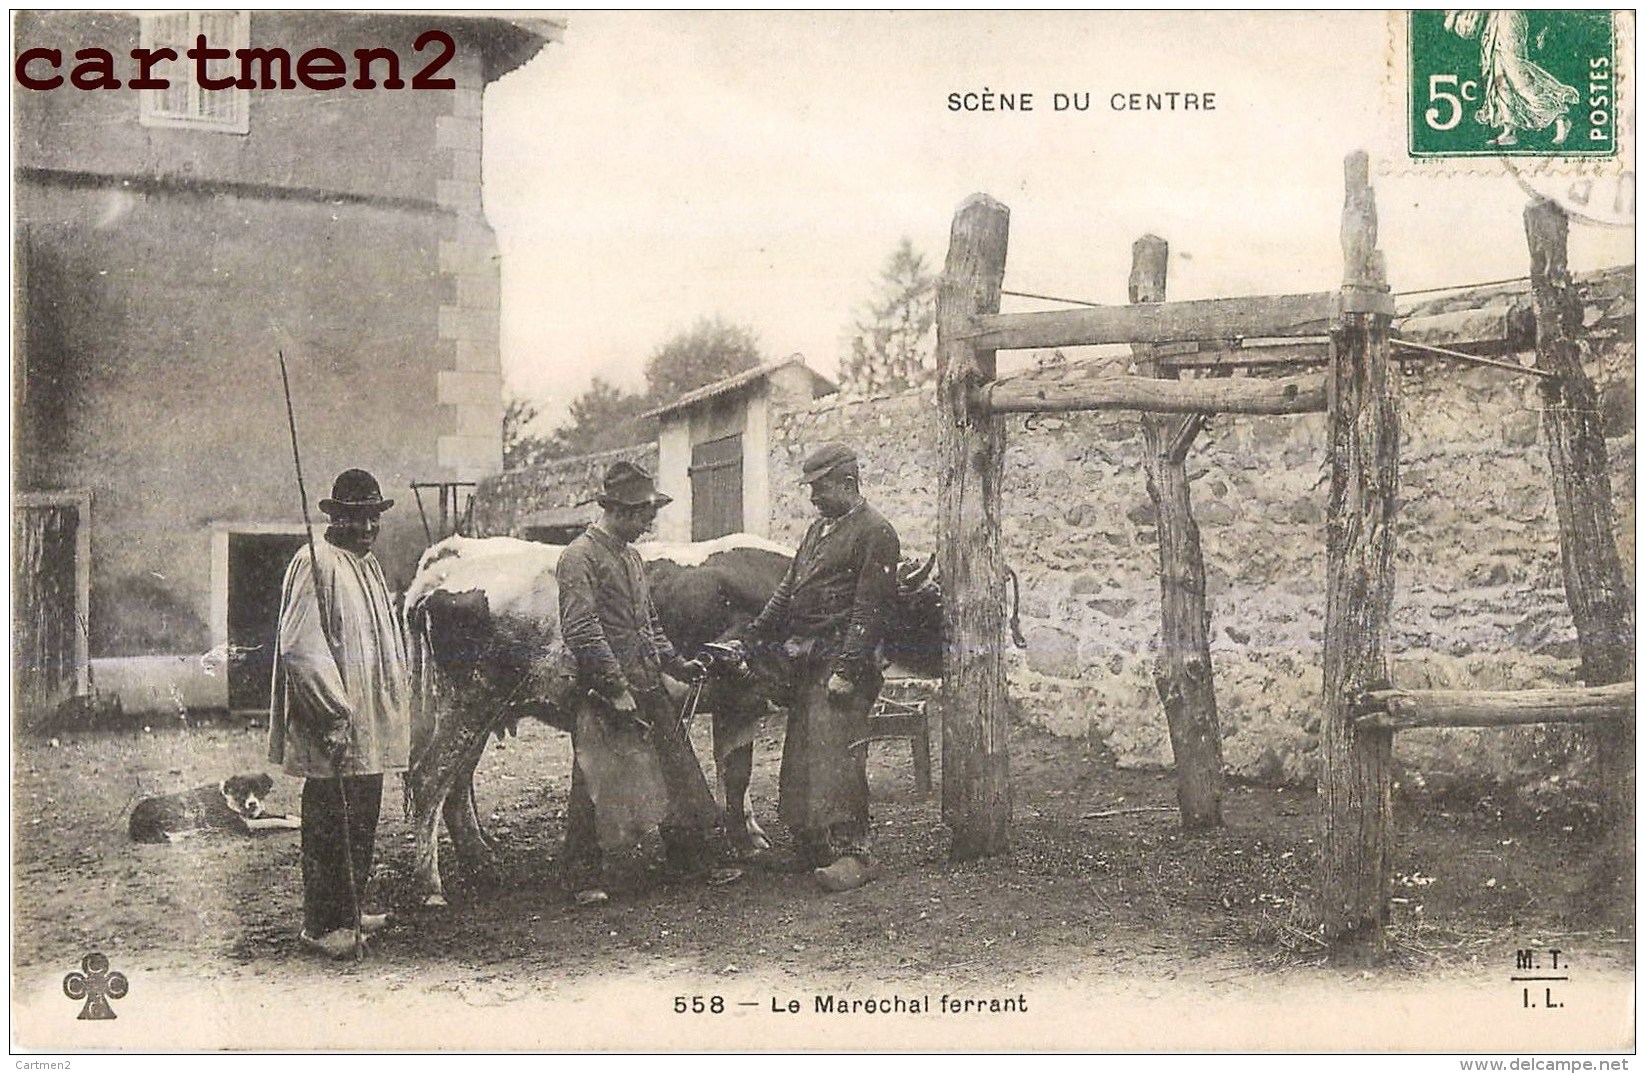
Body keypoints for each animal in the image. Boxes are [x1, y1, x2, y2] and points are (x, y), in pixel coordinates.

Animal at [128, 776, 302, 842]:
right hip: (186, 809)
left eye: (258, 790)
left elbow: (281, 815)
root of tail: (133, 822)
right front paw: (295, 823)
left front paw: (297, 818)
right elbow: (274, 819)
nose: (253, 803)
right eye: (242, 791)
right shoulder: (243, 823)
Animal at [398, 526, 947, 907]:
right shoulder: (739, 695)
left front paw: (748, 836)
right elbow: (735, 774)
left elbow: (735, 772)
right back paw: (430, 887)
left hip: (480, 708)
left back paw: (485, 862)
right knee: (429, 780)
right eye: (936, 600)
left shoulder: (738, 702)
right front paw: (746, 842)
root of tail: (450, 557)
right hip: (471, 698)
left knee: (456, 787)